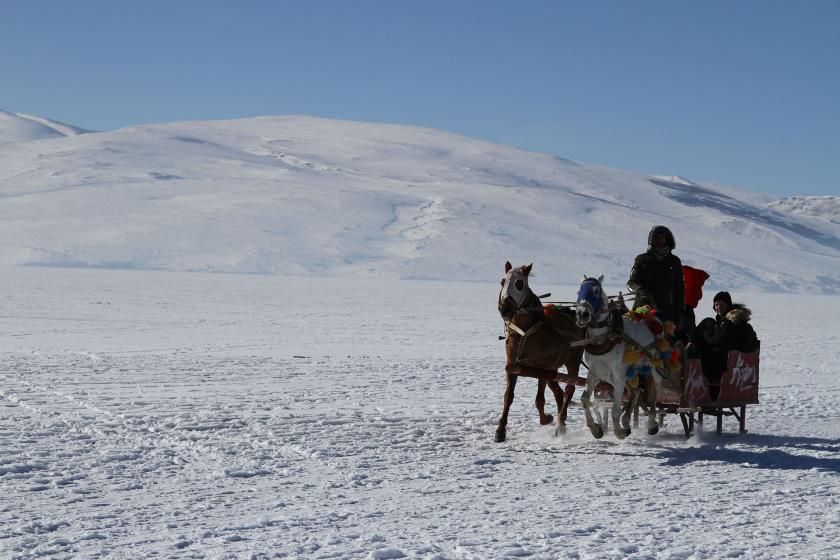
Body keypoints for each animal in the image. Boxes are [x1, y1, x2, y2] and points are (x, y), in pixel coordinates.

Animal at [498, 262, 584, 442]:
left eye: (519, 284)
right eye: (503, 281)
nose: (505, 309)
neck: (526, 332)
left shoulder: (543, 368)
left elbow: (539, 399)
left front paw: (546, 419)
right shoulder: (512, 366)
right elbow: (508, 397)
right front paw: (500, 430)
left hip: (573, 360)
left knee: (569, 389)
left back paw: (560, 422)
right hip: (554, 368)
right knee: (558, 392)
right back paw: (562, 420)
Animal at [576, 274, 664, 438]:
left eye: (596, 291)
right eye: (579, 291)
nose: (582, 314)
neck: (603, 339)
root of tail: (650, 315)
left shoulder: (618, 377)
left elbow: (615, 409)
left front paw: (619, 432)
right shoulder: (594, 373)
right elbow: (584, 398)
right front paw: (595, 429)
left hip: (654, 364)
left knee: (656, 388)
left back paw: (651, 423)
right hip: (630, 372)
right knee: (636, 392)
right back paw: (626, 421)